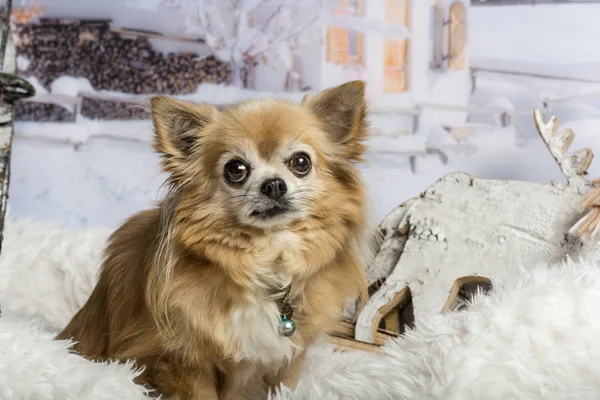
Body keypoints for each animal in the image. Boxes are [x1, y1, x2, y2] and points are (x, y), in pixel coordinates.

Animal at [58, 79, 372, 398]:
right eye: (236, 169)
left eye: (301, 162)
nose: (273, 185)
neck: (267, 261)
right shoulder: (181, 358)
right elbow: (199, 389)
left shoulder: (288, 358)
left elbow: (286, 385)